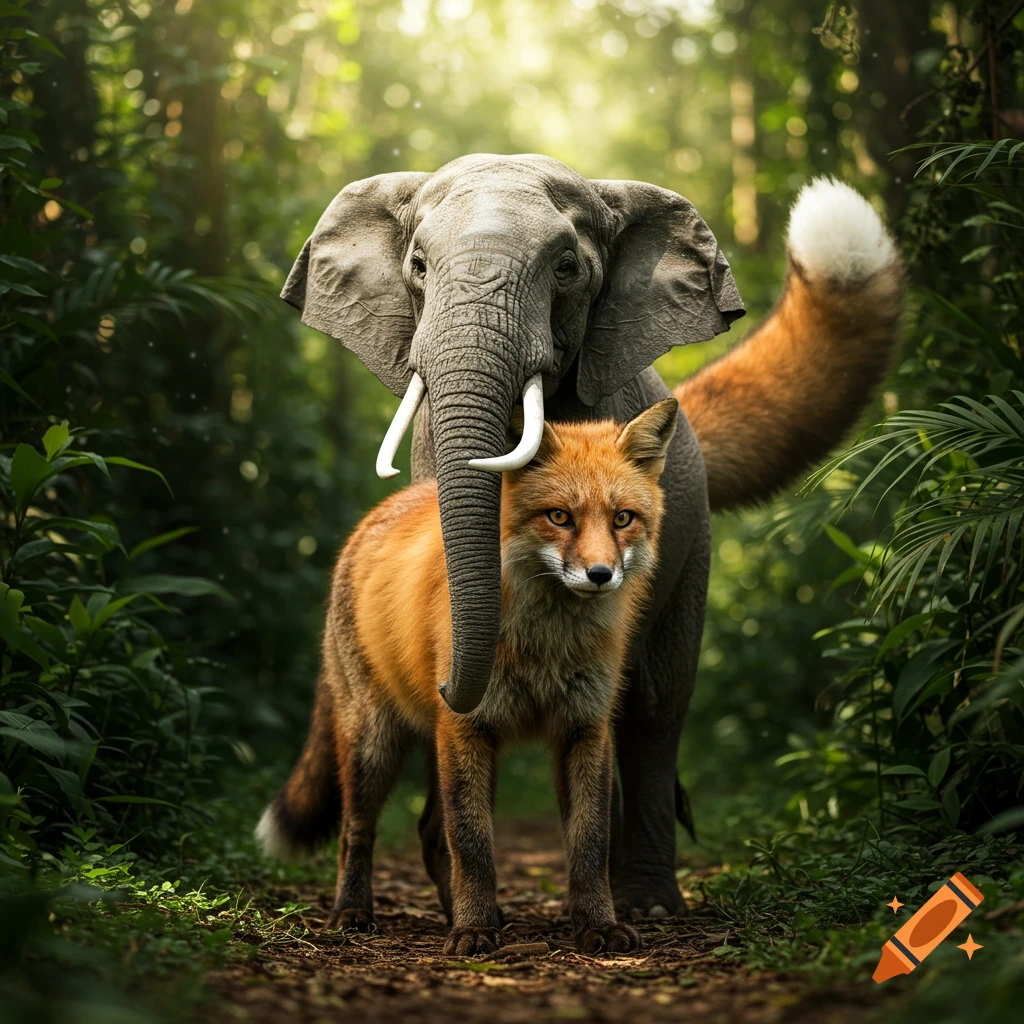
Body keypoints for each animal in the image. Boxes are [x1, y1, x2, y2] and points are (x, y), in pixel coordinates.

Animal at [257, 398, 681, 955]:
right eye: (559, 517)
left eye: (623, 519)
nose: (600, 575)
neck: (543, 647)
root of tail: (375, 515)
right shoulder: (467, 726)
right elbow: (473, 842)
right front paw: (474, 930)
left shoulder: (584, 727)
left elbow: (590, 841)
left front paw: (597, 925)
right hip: (376, 742)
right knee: (357, 830)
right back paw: (353, 912)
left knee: (429, 831)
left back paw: (457, 912)